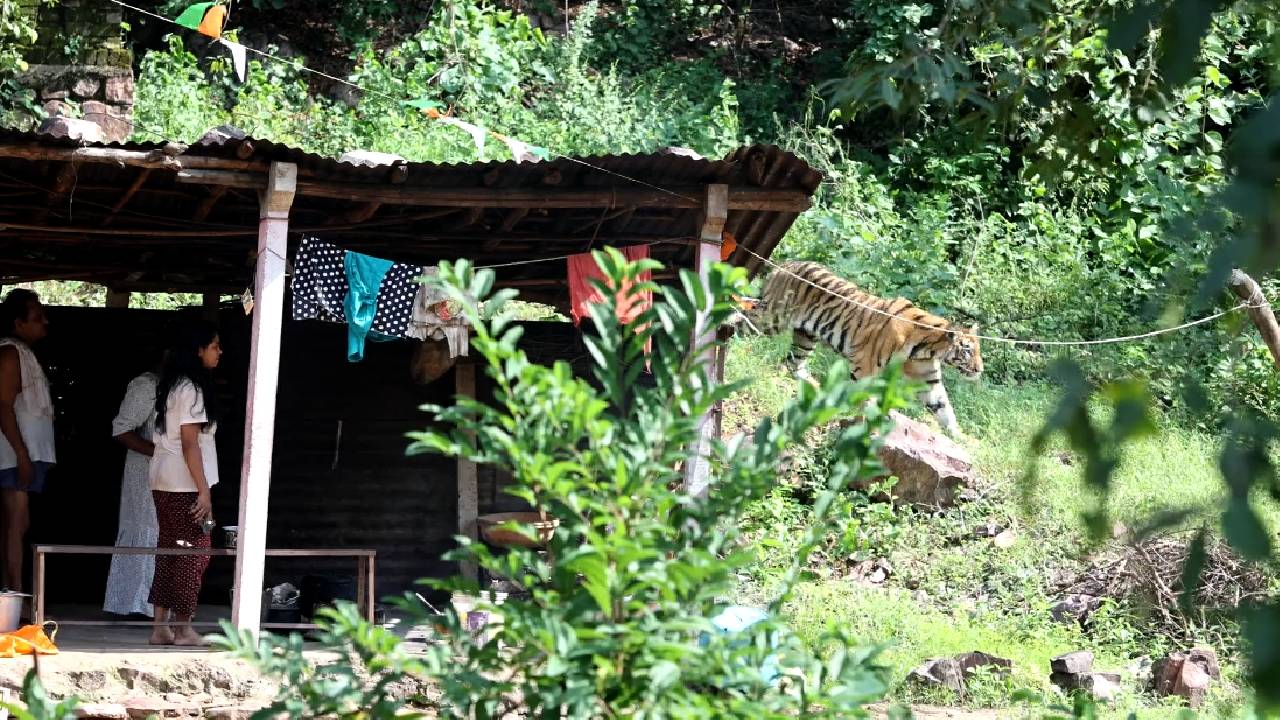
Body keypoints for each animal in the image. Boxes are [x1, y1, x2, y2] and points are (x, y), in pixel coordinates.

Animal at [737, 260, 983, 437]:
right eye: (967, 350)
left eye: (978, 351)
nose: (979, 370)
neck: (926, 351)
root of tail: (785, 264)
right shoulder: (865, 365)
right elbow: (865, 398)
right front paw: (866, 424)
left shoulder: (928, 381)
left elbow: (945, 410)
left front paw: (959, 439)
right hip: (773, 319)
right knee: (743, 318)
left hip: (806, 336)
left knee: (792, 363)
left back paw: (813, 386)